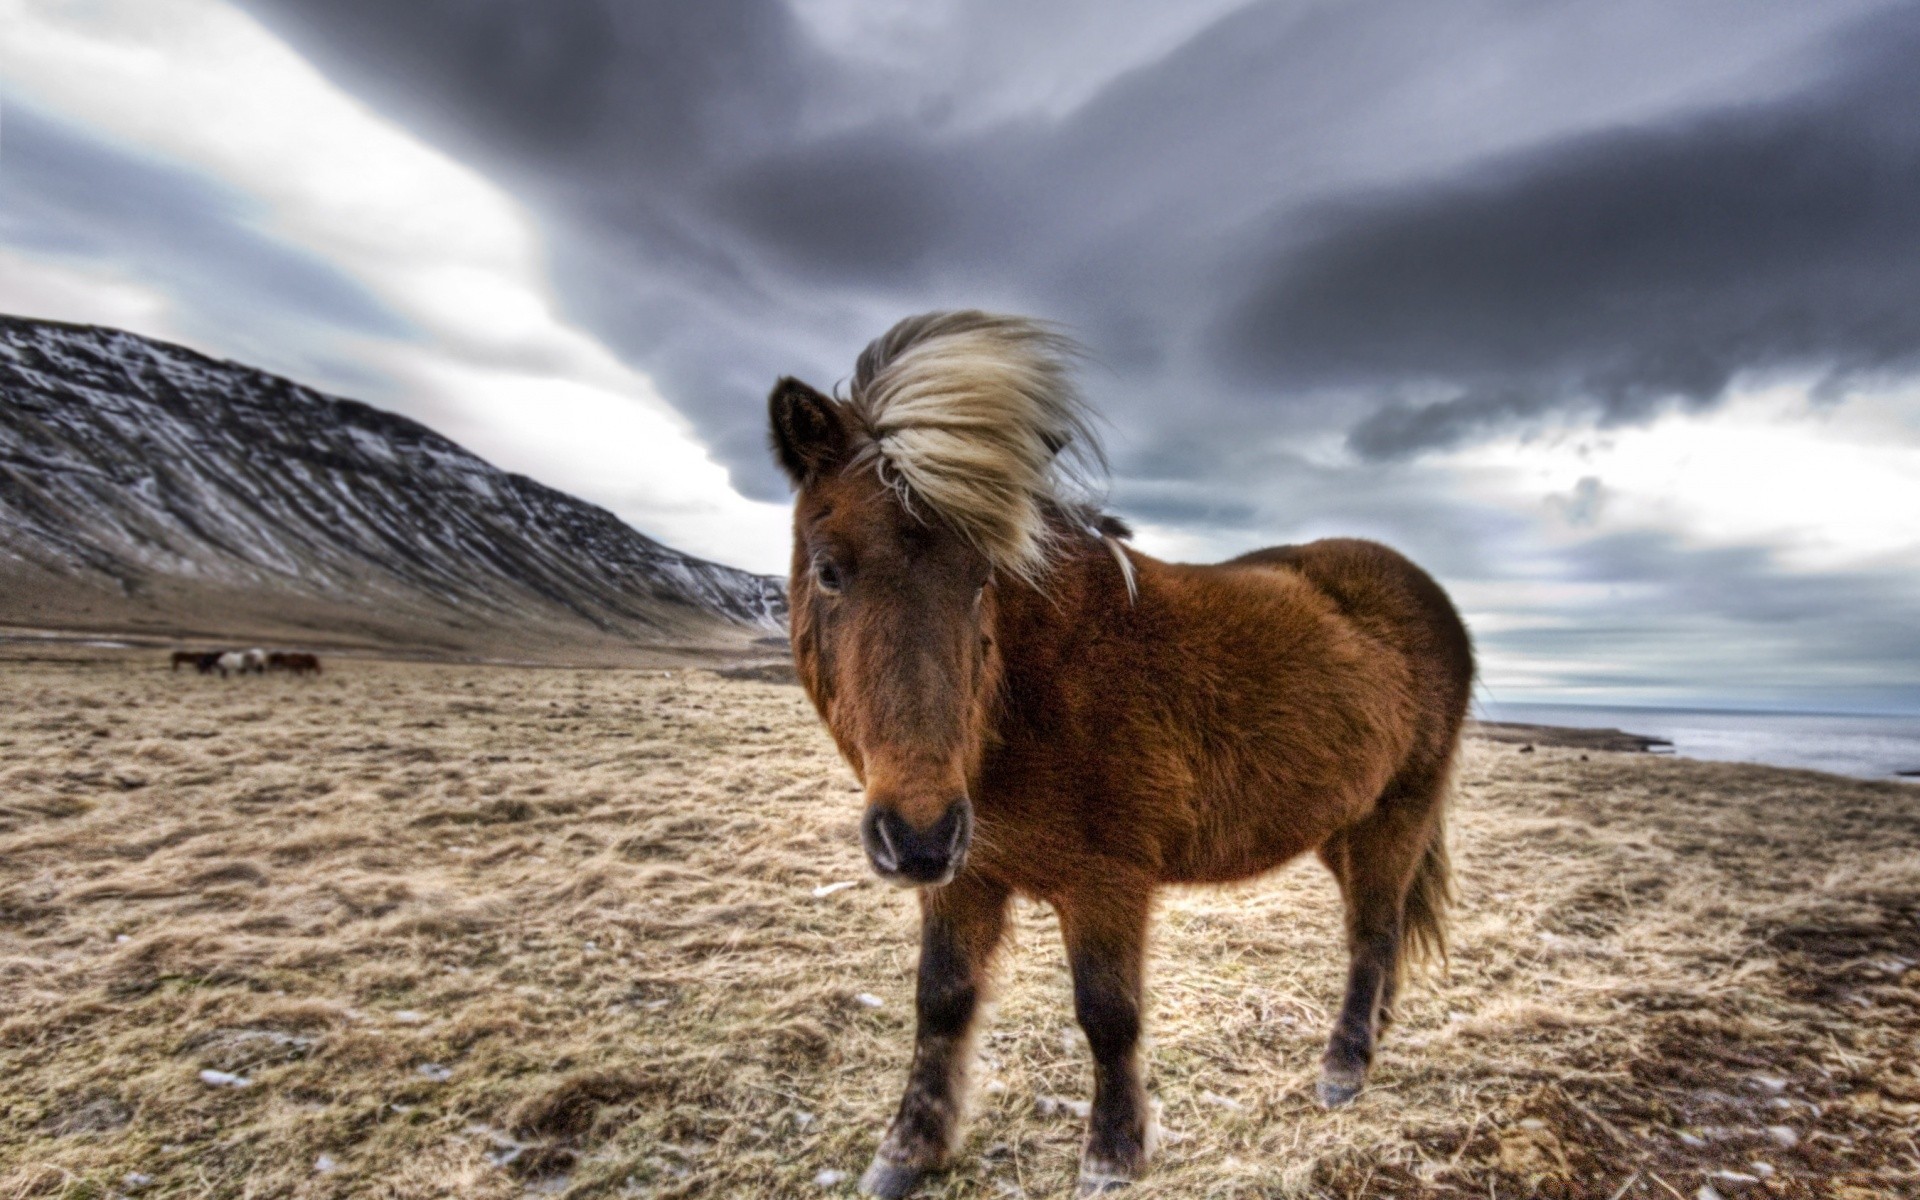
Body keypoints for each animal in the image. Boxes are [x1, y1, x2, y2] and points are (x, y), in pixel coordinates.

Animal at [764, 312, 1466, 1190]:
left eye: (981, 578)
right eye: (830, 571)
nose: (919, 836)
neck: (1028, 696)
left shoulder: (1108, 883)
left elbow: (1107, 1014)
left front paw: (1113, 1152)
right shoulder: (965, 878)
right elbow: (941, 1001)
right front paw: (908, 1150)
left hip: (1395, 817)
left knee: (1370, 934)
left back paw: (1345, 1065)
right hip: (1345, 825)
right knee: (1386, 927)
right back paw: (1380, 1029)